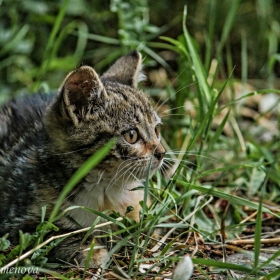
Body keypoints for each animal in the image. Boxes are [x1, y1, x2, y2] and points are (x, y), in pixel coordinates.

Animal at [0, 50, 165, 266]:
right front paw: (90, 250)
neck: (106, 189)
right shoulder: (16, 221)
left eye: (156, 130)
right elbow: (54, 236)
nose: (161, 153)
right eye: (131, 135)